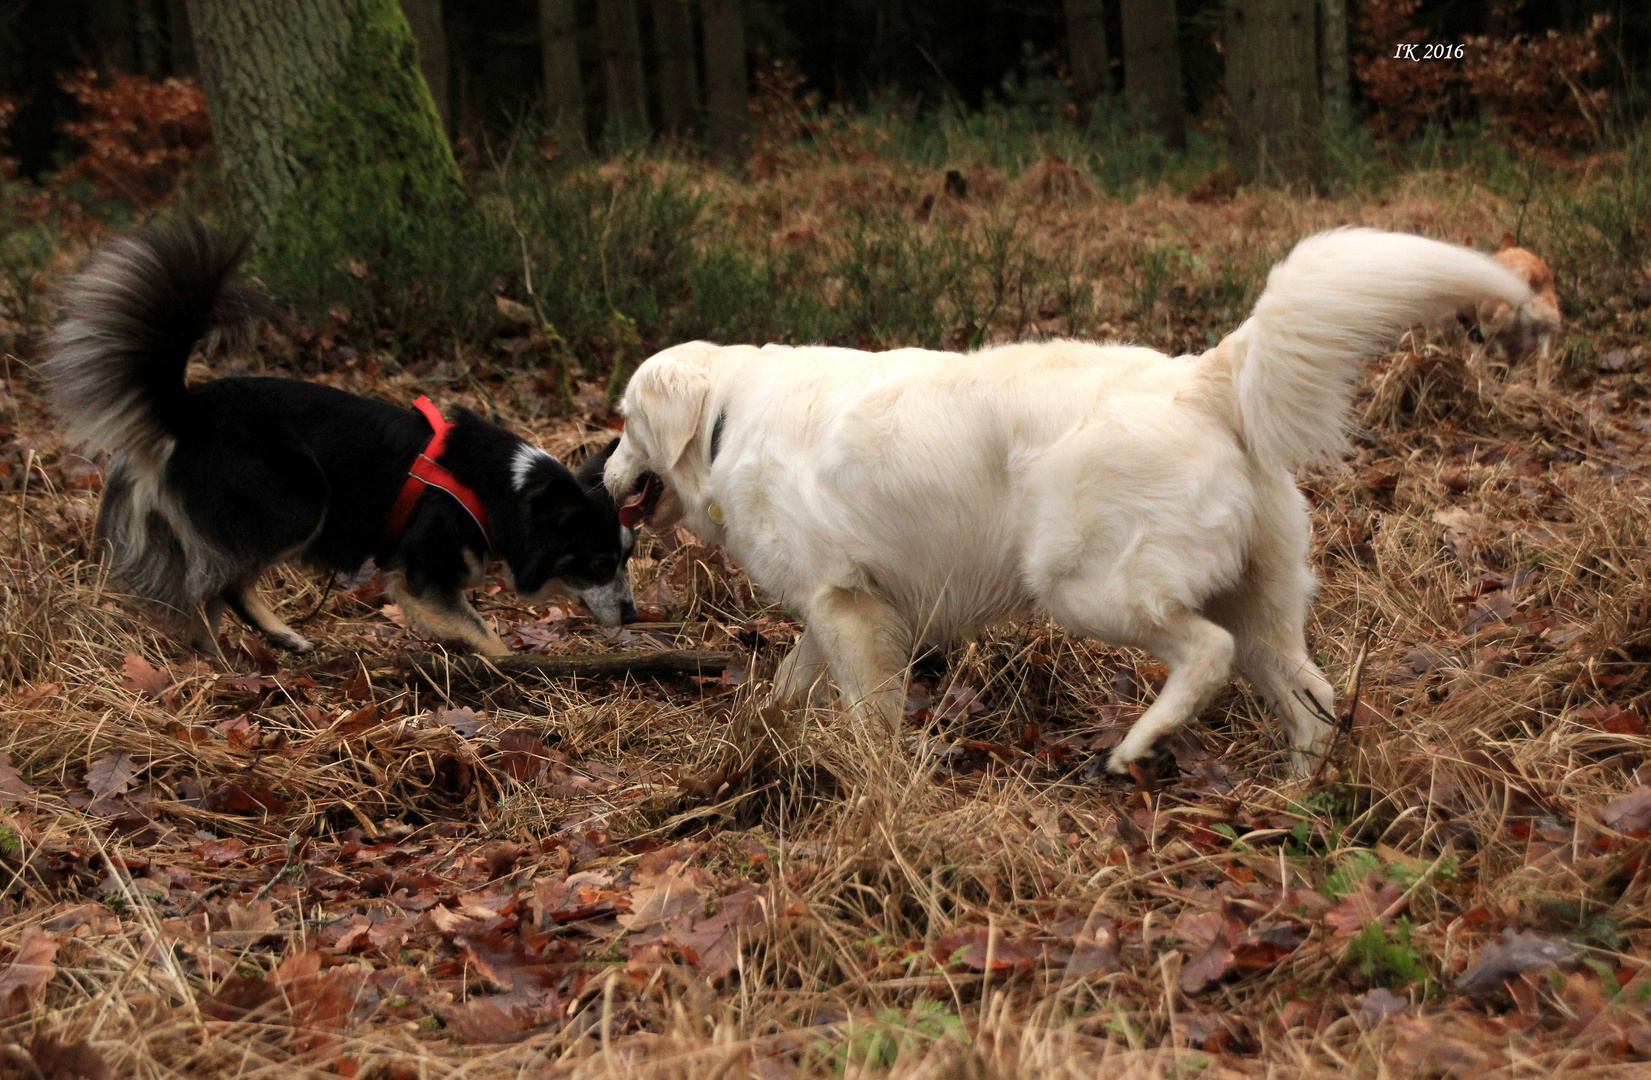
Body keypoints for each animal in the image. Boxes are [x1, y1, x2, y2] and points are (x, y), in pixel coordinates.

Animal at [46, 224, 630, 657]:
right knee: (219, 583)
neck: (503, 490)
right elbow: (484, 633)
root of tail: (186, 409)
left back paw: (228, 655)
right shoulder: (421, 575)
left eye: (628, 556)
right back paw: (261, 643)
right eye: (599, 563)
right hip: (297, 500)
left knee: (206, 591)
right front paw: (512, 670)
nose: (633, 614)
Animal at [607, 234, 1532, 779]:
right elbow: (789, 683)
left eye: (621, 423)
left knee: (1206, 653)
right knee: (1309, 695)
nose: (601, 476)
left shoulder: (848, 611)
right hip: (1261, 603)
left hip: (1089, 587)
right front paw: (756, 734)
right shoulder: (836, 611)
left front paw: (874, 790)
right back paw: (1297, 793)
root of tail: (1201, 380)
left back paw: (1135, 747)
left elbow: (866, 717)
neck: (725, 417)